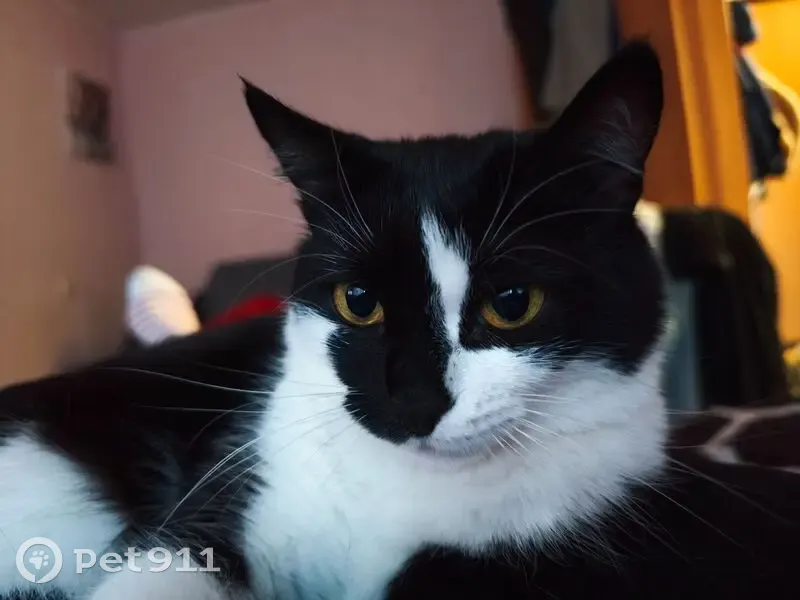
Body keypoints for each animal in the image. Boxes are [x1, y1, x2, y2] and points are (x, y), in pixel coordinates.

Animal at [1, 42, 799, 600]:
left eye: (512, 303)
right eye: (359, 301)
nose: (413, 401)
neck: (403, 491)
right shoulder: (238, 481)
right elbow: (176, 559)